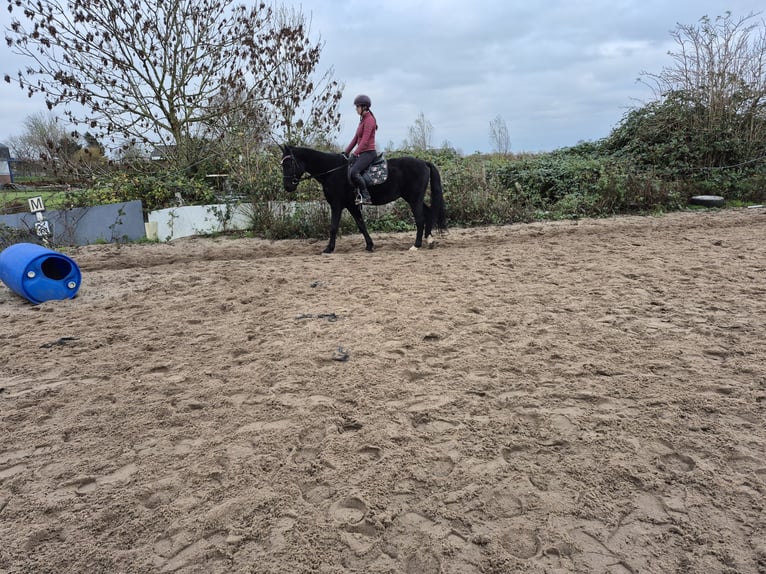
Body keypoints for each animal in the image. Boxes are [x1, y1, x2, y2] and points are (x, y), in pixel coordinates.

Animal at [280, 145, 447, 253]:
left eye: (288, 163)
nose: (287, 186)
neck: (332, 171)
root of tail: (424, 162)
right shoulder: (352, 205)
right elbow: (361, 225)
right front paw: (369, 246)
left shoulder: (337, 205)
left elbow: (333, 227)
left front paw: (328, 248)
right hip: (413, 198)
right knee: (429, 213)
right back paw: (429, 240)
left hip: (414, 199)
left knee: (420, 219)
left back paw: (416, 245)